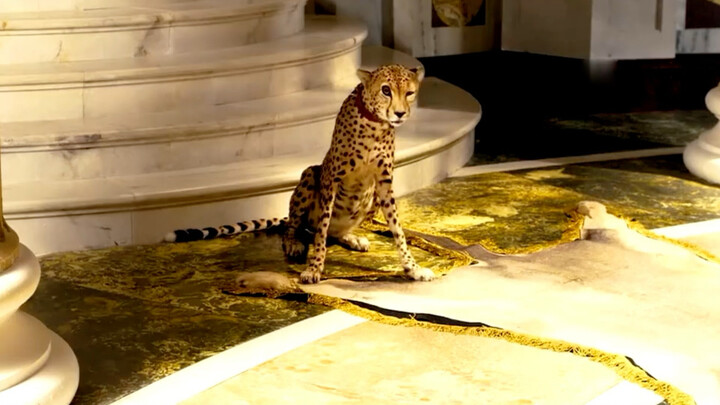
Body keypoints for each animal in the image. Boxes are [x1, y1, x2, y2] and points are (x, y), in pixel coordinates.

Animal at [165, 64, 435, 284]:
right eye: (386, 90)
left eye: (409, 93)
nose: (400, 113)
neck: (375, 123)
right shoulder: (330, 179)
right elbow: (322, 229)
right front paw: (314, 269)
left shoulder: (385, 184)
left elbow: (398, 231)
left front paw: (413, 268)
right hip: (309, 176)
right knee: (297, 227)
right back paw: (295, 243)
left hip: (372, 199)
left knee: (334, 233)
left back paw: (351, 238)